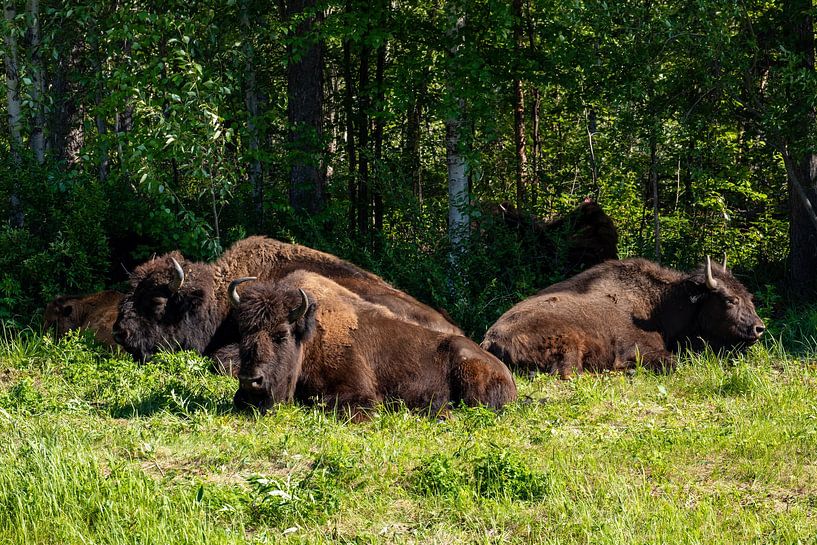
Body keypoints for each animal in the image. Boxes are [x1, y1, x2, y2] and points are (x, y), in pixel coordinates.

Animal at [226, 270, 512, 416]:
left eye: (282, 334)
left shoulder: (358, 394)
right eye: (242, 332)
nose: (251, 381)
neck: (310, 339)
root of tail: (507, 373)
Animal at [478, 256, 764, 376]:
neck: (659, 306)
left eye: (749, 296)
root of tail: (489, 338)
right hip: (570, 345)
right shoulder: (642, 350)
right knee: (570, 373)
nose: (759, 328)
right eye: (729, 300)